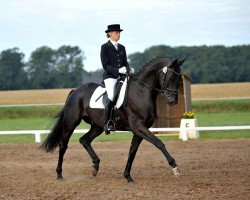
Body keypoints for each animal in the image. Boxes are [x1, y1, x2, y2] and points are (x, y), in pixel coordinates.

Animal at [40, 56, 186, 183]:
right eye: (171, 77)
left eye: (179, 77)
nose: (173, 101)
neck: (141, 91)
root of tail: (75, 91)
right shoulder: (138, 126)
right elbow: (159, 143)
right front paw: (175, 167)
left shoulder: (139, 130)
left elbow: (132, 151)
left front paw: (127, 176)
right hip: (71, 123)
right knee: (63, 145)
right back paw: (59, 174)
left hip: (97, 126)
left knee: (84, 140)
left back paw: (95, 166)